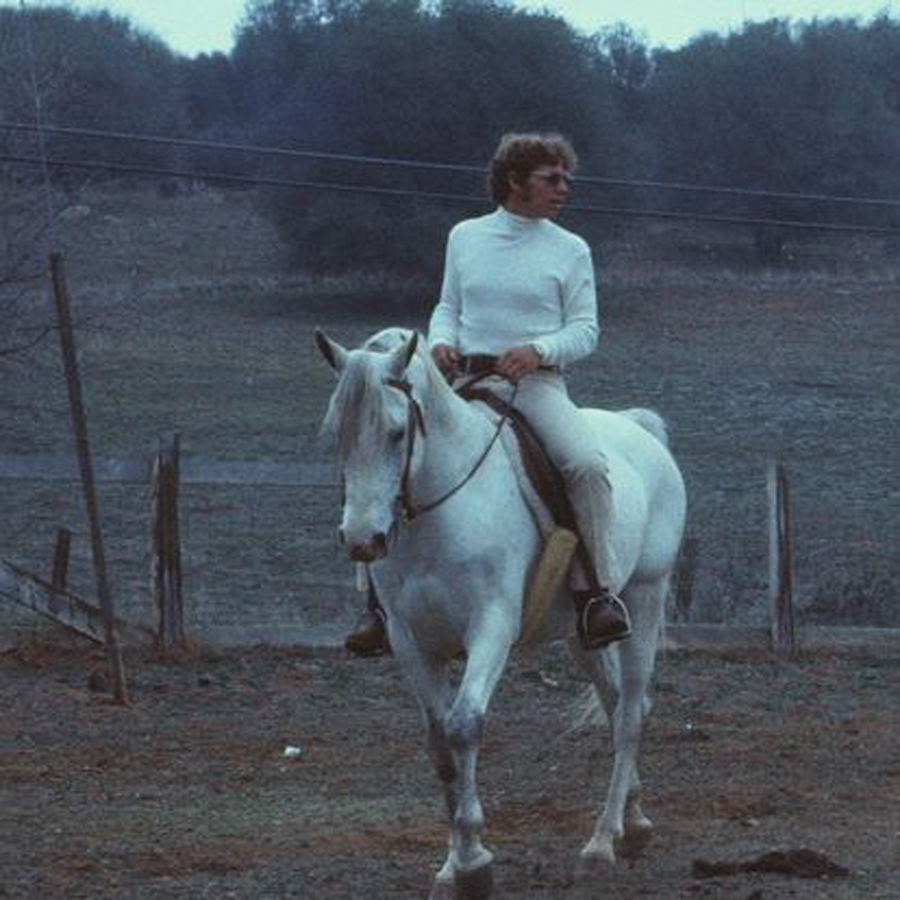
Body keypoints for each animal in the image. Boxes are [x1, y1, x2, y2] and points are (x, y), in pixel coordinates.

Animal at [318, 326, 688, 900]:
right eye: (338, 433)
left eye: (398, 433)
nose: (362, 539)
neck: (441, 509)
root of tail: (637, 426)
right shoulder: (410, 640)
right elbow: (438, 742)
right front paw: (452, 866)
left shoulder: (490, 628)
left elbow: (464, 725)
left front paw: (474, 861)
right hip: (580, 634)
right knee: (617, 704)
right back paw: (634, 822)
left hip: (645, 601)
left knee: (630, 714)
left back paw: (602, 842)